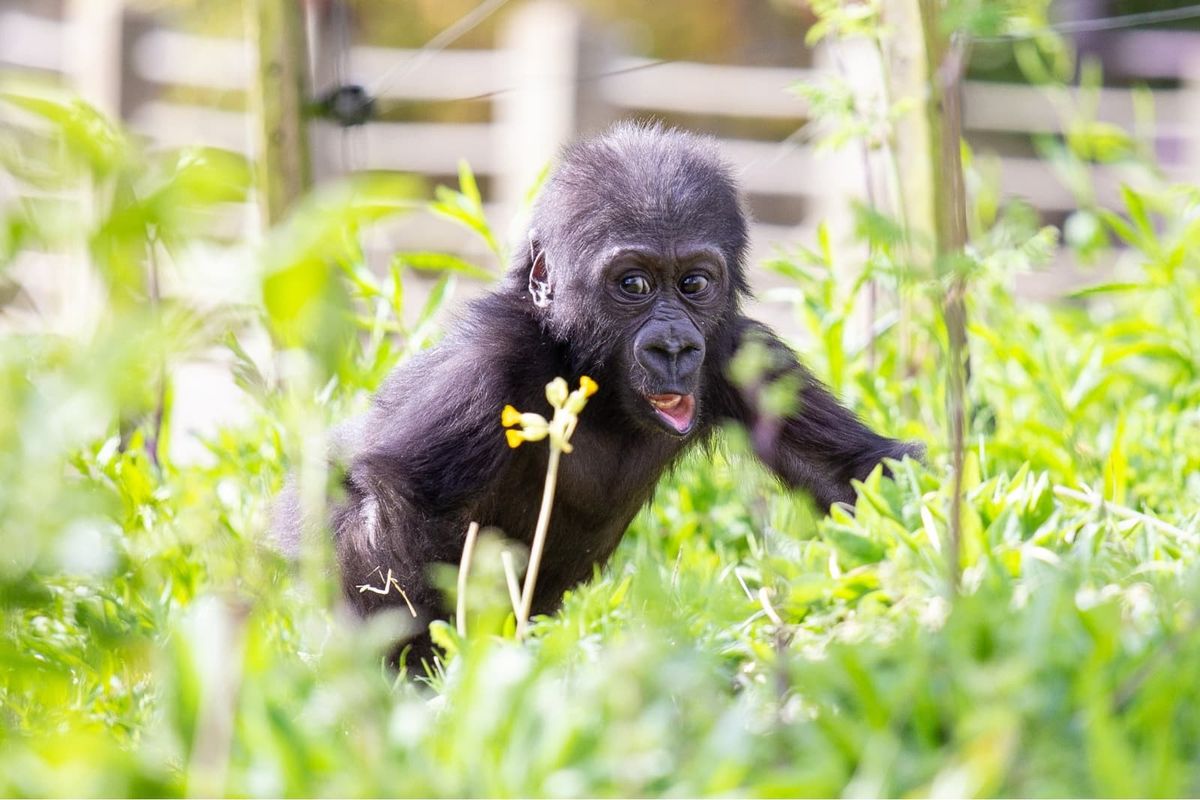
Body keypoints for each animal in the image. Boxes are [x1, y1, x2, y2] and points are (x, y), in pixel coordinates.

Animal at [275, 122, 922, 666]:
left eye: (694, 283)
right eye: (633, 284)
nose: (672, 346)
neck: (585, 366)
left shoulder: (741, 353)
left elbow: (856, 473)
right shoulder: (489, 360)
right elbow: (396, 498)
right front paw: (429, 668)